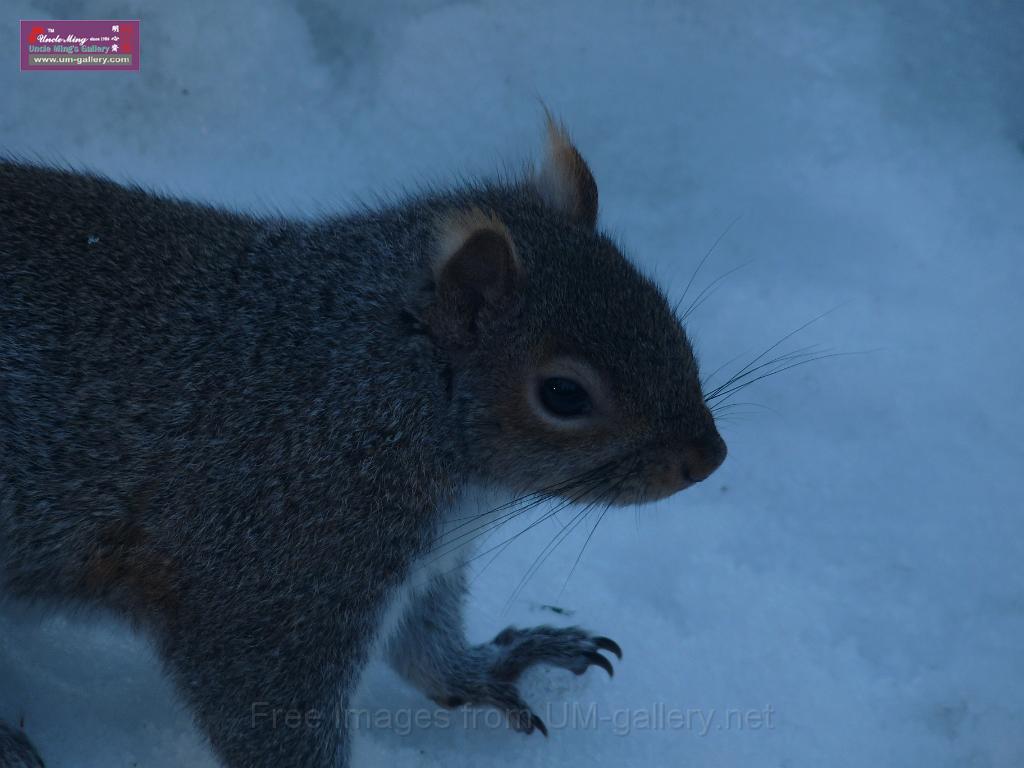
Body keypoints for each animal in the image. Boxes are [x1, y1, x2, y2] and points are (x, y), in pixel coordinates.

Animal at [0, 117, 727, 767]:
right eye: (563, 394)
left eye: (662, 310)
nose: (708, 458)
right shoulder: (279, 559)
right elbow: (263, 703)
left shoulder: (432, 558)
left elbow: (423, 645)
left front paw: (490, 665)